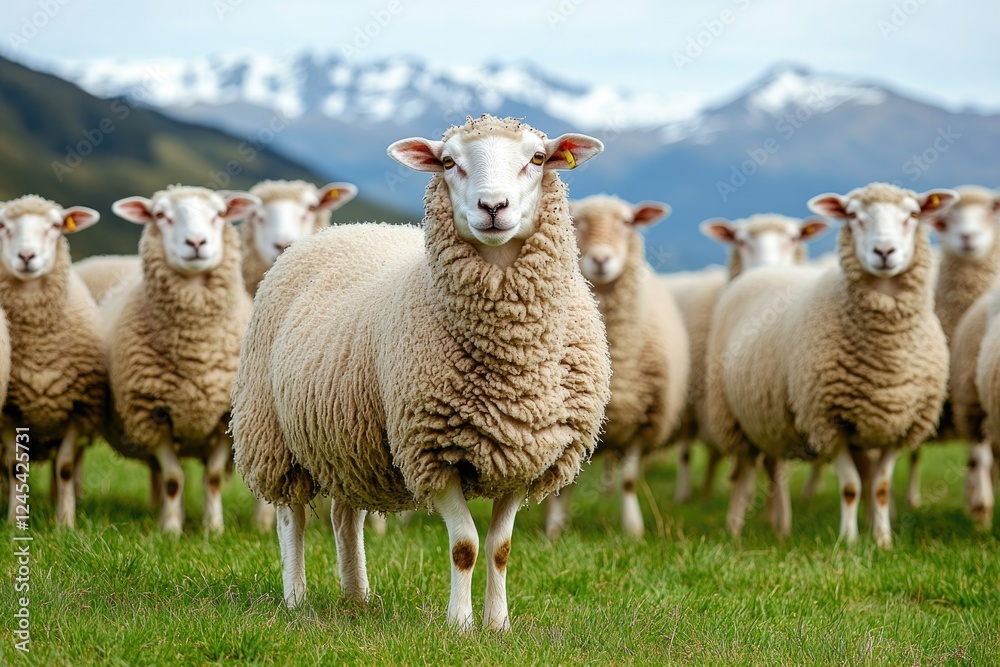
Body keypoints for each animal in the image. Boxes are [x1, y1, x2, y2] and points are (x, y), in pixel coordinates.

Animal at [0, 195, 106, 528]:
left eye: (56, 225)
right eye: (3, 225)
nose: (26, 256)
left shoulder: (77, 408)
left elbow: (65, 467)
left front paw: (65, 523)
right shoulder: (8, 412)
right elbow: (16, 467)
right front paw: (15, 521)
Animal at [103, 185, 258, 535]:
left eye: (219, 213)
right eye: (161, 215)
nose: (196, 243)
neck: (196, 352)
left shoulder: (224, 418)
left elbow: (212, 478)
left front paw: (213, 530)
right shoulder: (153, 413)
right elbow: (174, 479)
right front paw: (171, 531)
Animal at [231, 114, 611, 632]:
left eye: (537, 158)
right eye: (449, 163)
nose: (493, 207)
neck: (512, 358)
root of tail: (345, 228)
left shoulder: (527, 451)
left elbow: (501, 548)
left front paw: (498, 624)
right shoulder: (433, 450)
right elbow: (465, 545)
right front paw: (461, 625)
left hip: (347, 436)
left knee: (345, 516)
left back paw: (357, 597)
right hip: (272, 432)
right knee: (292, 517)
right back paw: (296, 597)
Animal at [543, 194, 687, 540]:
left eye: (627, 222)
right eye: (578, 221)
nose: (600, 259)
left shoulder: (643, 419)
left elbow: (629, 480)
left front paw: (633, 529)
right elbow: (566, 485)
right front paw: (554, 530)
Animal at [705, 183, 956, 547]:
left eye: (913, 214)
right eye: (853, 216)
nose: (884, 251)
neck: (888, 357)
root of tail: (764, 270)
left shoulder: (900, 426)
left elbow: (880, 488)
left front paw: (883, 541)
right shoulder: (828, 420)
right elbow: (850, 487)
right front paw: (848, 543)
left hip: (771, 416)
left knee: (774, 468)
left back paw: (780, 528)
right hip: (735, 418)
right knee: (747, 474)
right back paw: (735, 530)